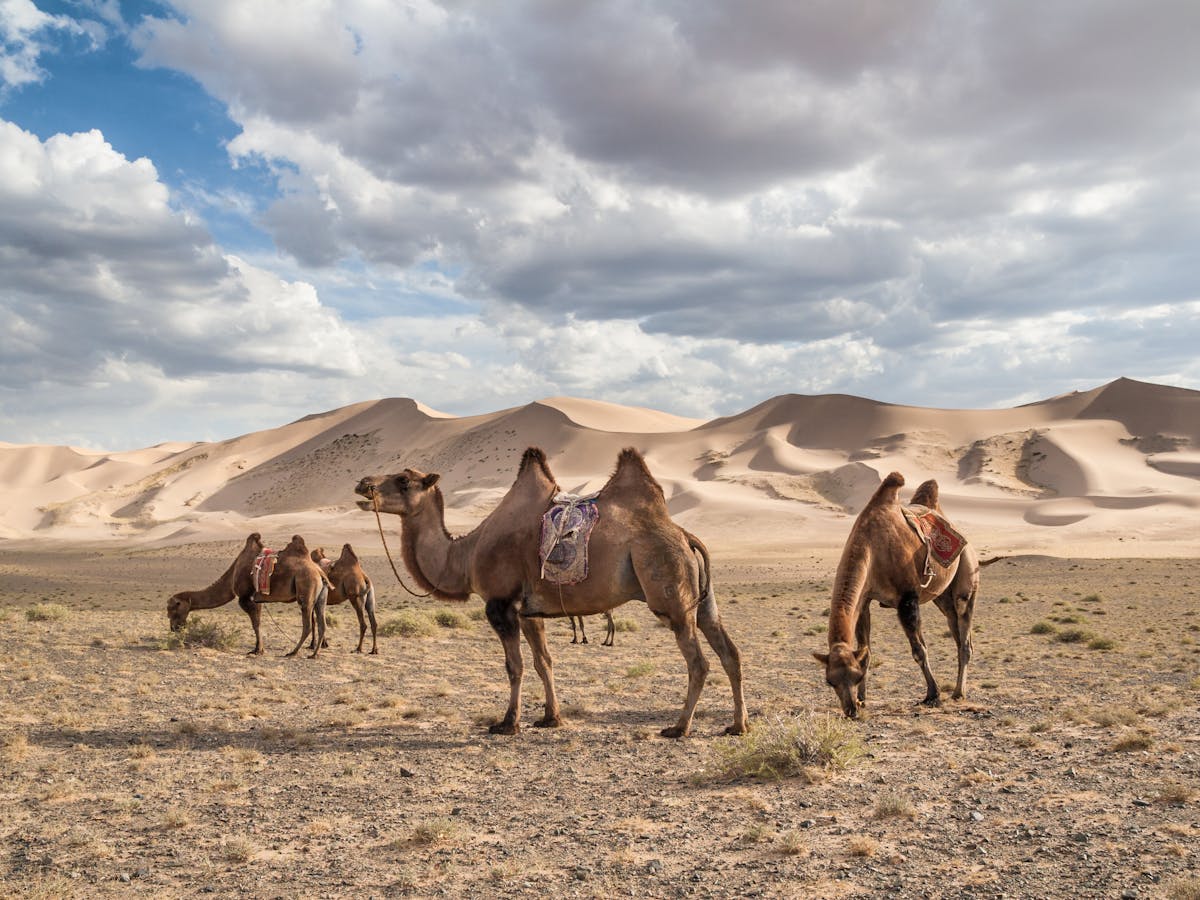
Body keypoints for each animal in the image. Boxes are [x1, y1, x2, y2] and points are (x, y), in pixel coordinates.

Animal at [166, 532, 328, 657]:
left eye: (173, 610)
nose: (173, 628)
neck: (233, 574)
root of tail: (319, 572)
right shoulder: (258, 599)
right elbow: (258, 622)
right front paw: (257, 649)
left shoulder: (245, 598)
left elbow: (255, 624)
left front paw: (258, 650)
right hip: (320, 597)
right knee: (322, 623)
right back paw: (314, 654)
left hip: (306, 588)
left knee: (307, 624)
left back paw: (293, 652)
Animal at [355, 446, 744, 739]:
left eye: (403, 480)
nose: (362, 484)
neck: (465, 554)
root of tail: (685, 535)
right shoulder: (530, 610)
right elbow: (544, 662)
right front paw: (549, 717)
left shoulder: (500, 604)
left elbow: (514, 666)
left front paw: (507, 723)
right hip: (703, 601)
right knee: (730, 653)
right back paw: (738, 725)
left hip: (670, 594)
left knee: (699, 661)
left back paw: (679, 728)